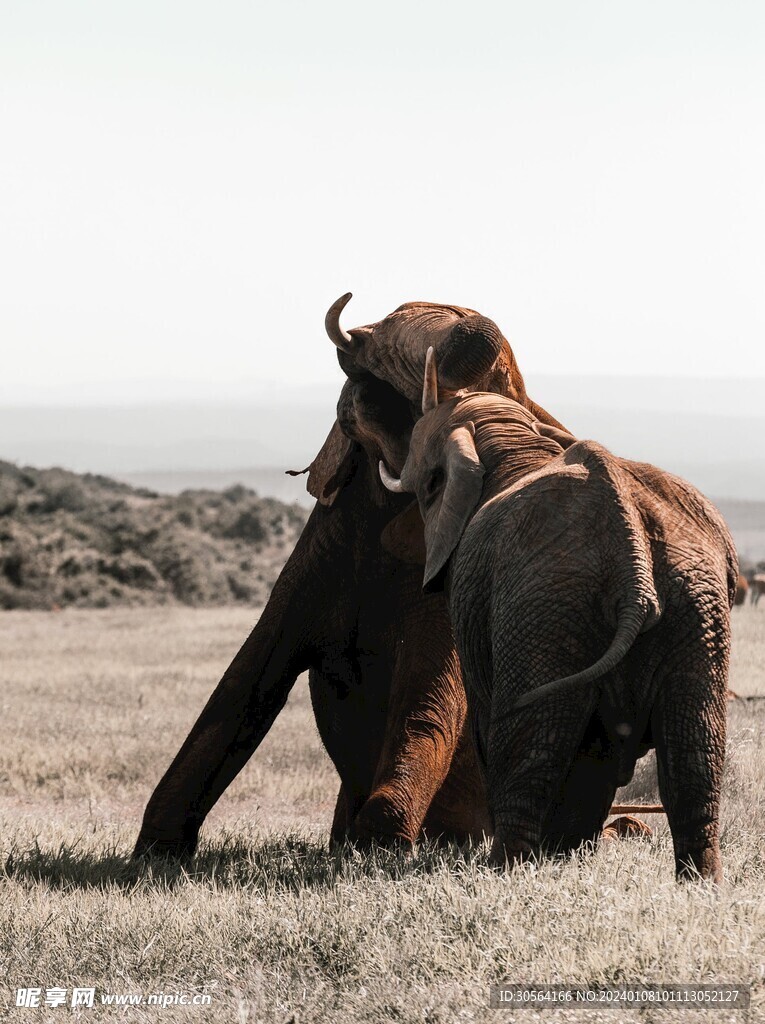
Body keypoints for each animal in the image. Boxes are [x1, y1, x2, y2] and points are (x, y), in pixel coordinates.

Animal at [379, 349, 738, 881]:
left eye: (425, 485)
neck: (512, 441)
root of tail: (630, 549)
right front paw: (568, 857)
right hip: (691, 608)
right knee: (695, 748)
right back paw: (699, 885)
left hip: (543, 608)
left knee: (525, 743)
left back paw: (503, 871)